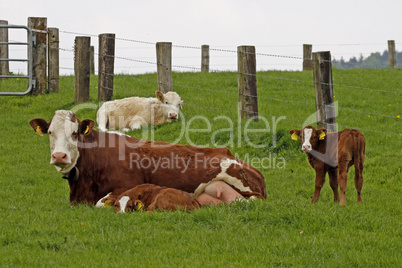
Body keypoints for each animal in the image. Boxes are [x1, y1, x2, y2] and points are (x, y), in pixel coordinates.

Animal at [29, 110, 266, 206]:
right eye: (50, 132)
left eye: (75, 133)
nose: (59, 156)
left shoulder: (127, 186)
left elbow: (101, 202)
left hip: (241, 182)